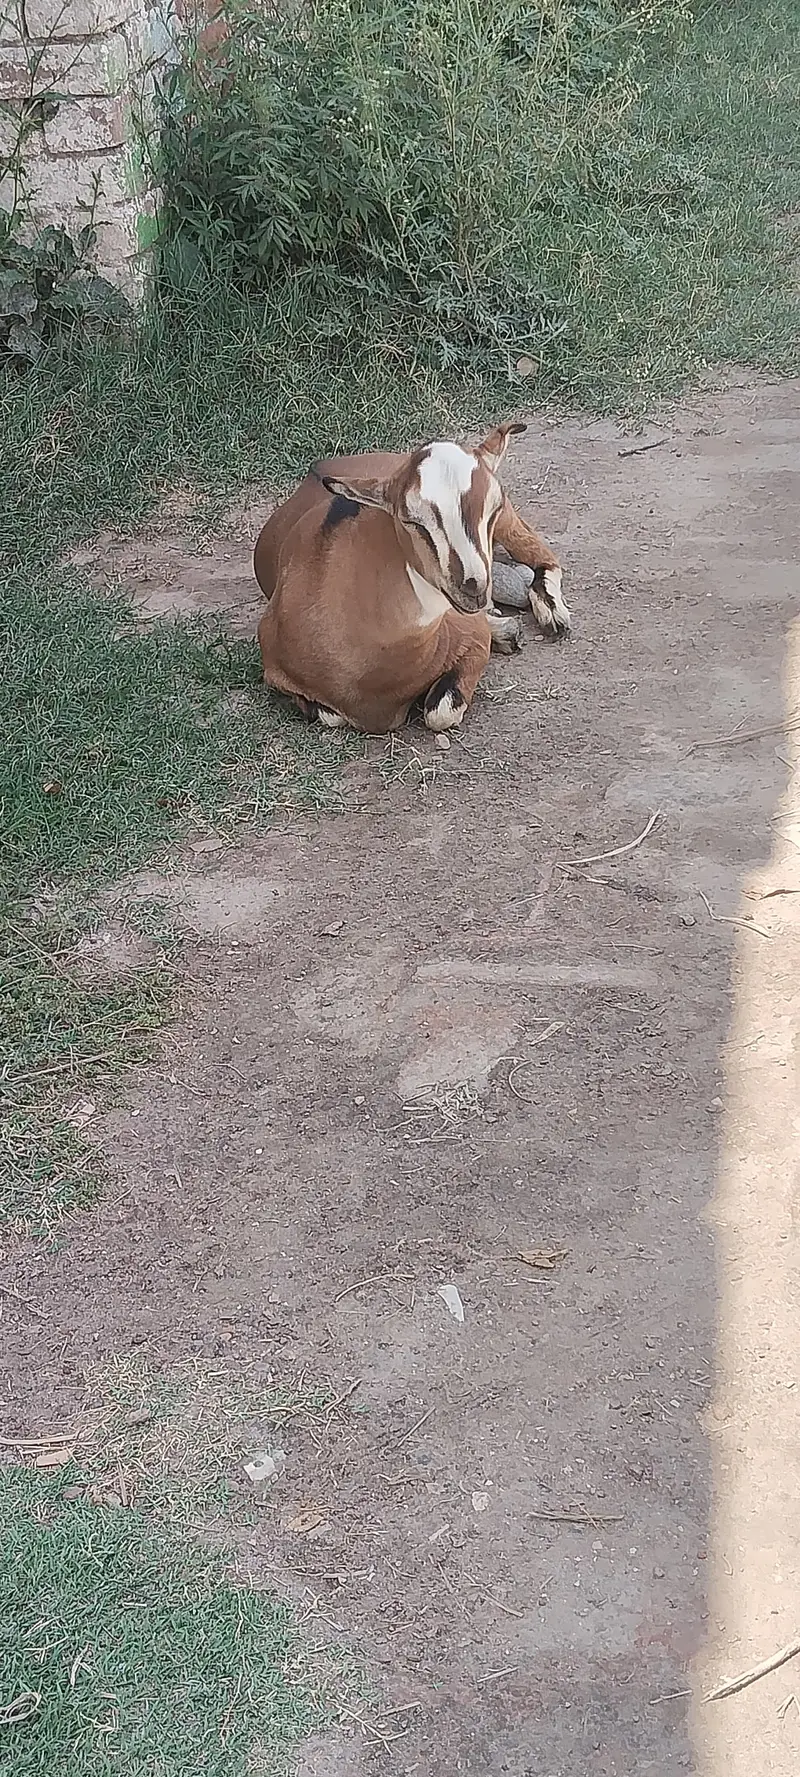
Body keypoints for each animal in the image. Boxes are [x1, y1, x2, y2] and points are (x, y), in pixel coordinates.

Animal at [253, 422, 569, 736]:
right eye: (412, 520)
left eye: (493, 508)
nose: (474, 589)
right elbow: (330, 715)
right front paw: (505, 630)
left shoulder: (473, 641)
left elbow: (439, 712)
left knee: (545, 557)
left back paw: (552, 614)